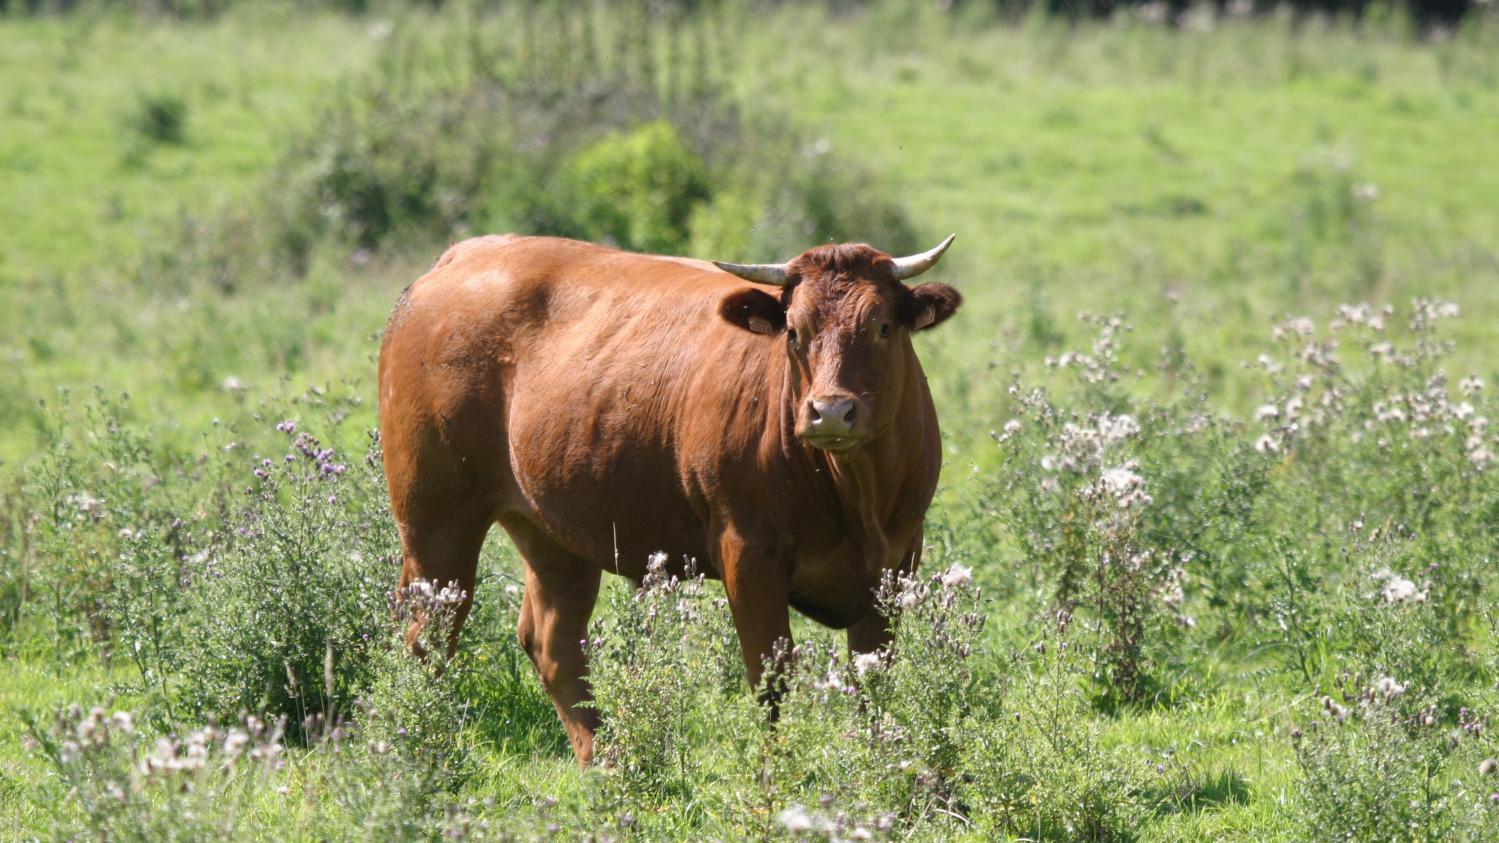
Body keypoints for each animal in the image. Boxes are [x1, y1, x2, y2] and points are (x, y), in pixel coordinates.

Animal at [374, 229, 959, 762]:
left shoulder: (896, 563)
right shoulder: (747, 554)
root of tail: (463, 255)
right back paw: (422, 749)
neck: (855, 496)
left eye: (883, 326)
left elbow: (872, 685)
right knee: (427, 636)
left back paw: (605, 760)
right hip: (436, 522)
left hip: (552, 534)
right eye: (794, 332)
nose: (831, 412)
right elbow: (771, 680)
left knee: (553, 644)